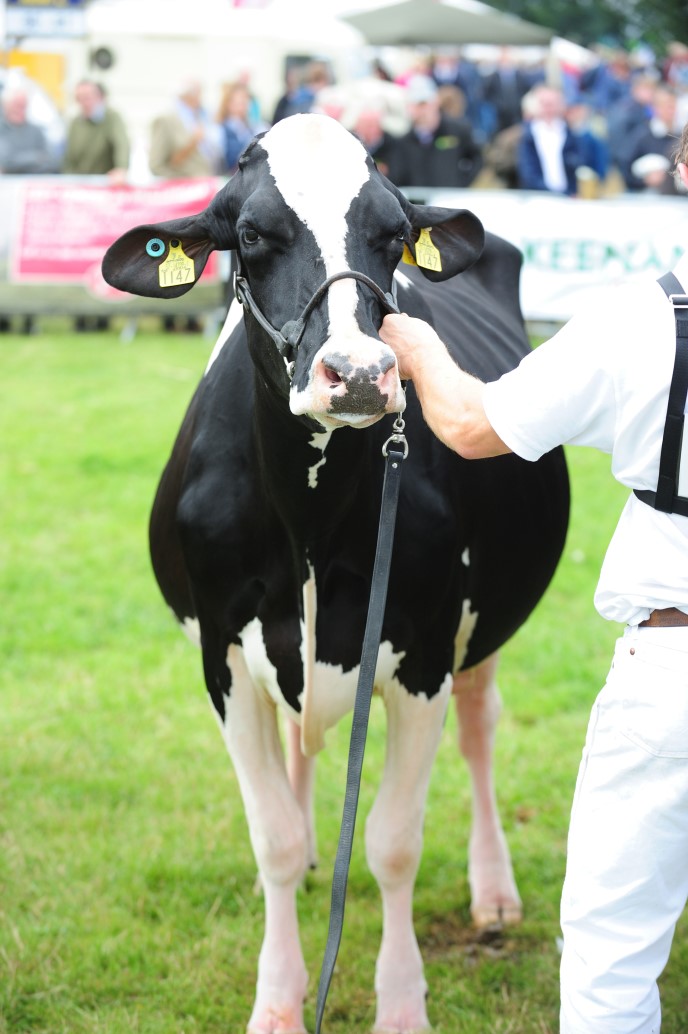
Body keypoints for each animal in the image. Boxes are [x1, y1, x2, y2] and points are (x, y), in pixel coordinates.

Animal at [102, 113, 569, 1033]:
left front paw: (402, 1005)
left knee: (480, 729)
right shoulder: (222, 656)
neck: (308, 522)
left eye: (393, 234)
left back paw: (494, 891)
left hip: (481, 629)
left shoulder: (423, 653)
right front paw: (279, 1003)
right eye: (250, 233)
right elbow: (274, 838)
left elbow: (392, 843)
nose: (357, 374)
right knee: (301, 753)